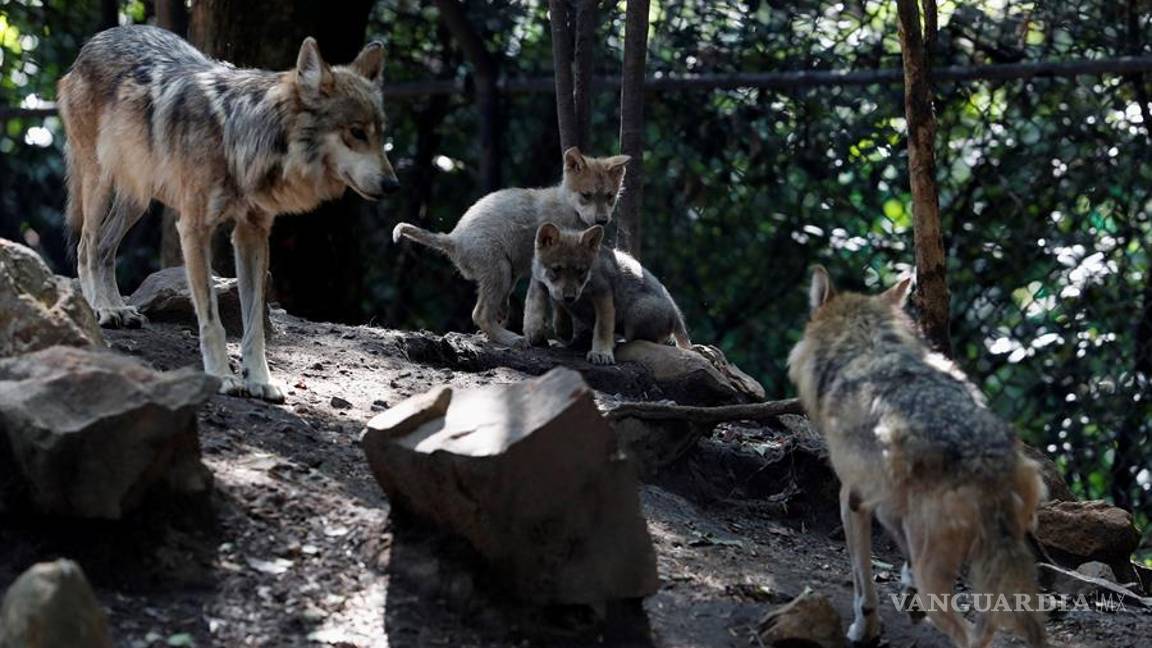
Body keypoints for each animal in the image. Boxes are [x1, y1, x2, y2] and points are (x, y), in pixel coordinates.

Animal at [57, 25, 398, 402]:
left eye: (381, 134)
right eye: (356, 132)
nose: (393, 185)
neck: (241, 135)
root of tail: (96, 40)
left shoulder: (253, 233)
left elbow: (254, 325)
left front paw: (259, 380)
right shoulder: (193, 229)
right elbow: (211, 319)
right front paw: (222, 376)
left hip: (138, 198)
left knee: (105, 249)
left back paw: (118, 307)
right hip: (99, 181)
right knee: (87, 246)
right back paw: (101, 309)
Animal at [392, 147, 629, 348]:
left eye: (610, 197)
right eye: (586, 195)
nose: (602, 221)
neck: (569, 208)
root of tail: (453, 239)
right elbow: (556, 300)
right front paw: (560, 330)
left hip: (508, 276)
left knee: (494, 311)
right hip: (500, 271)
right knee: (480, 314)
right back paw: (511, 339)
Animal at [526, 223, 691, 365]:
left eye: (581, 272)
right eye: (556, 269)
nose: (570, 297)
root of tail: (677, 316)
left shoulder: (603, 295)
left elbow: (602, 328)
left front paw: (601, 354)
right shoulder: (538, 280)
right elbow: (535, 306)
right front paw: (534, 333)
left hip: (636, 315)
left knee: (644, 341)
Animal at [787, 266, 1046, 648]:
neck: (867, 344)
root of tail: (985, 463)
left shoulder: (852, 498)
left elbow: (863, 583)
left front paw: (864, 630)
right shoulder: (889, 507)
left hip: (940, 576)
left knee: (968, 635)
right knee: (992, 627)